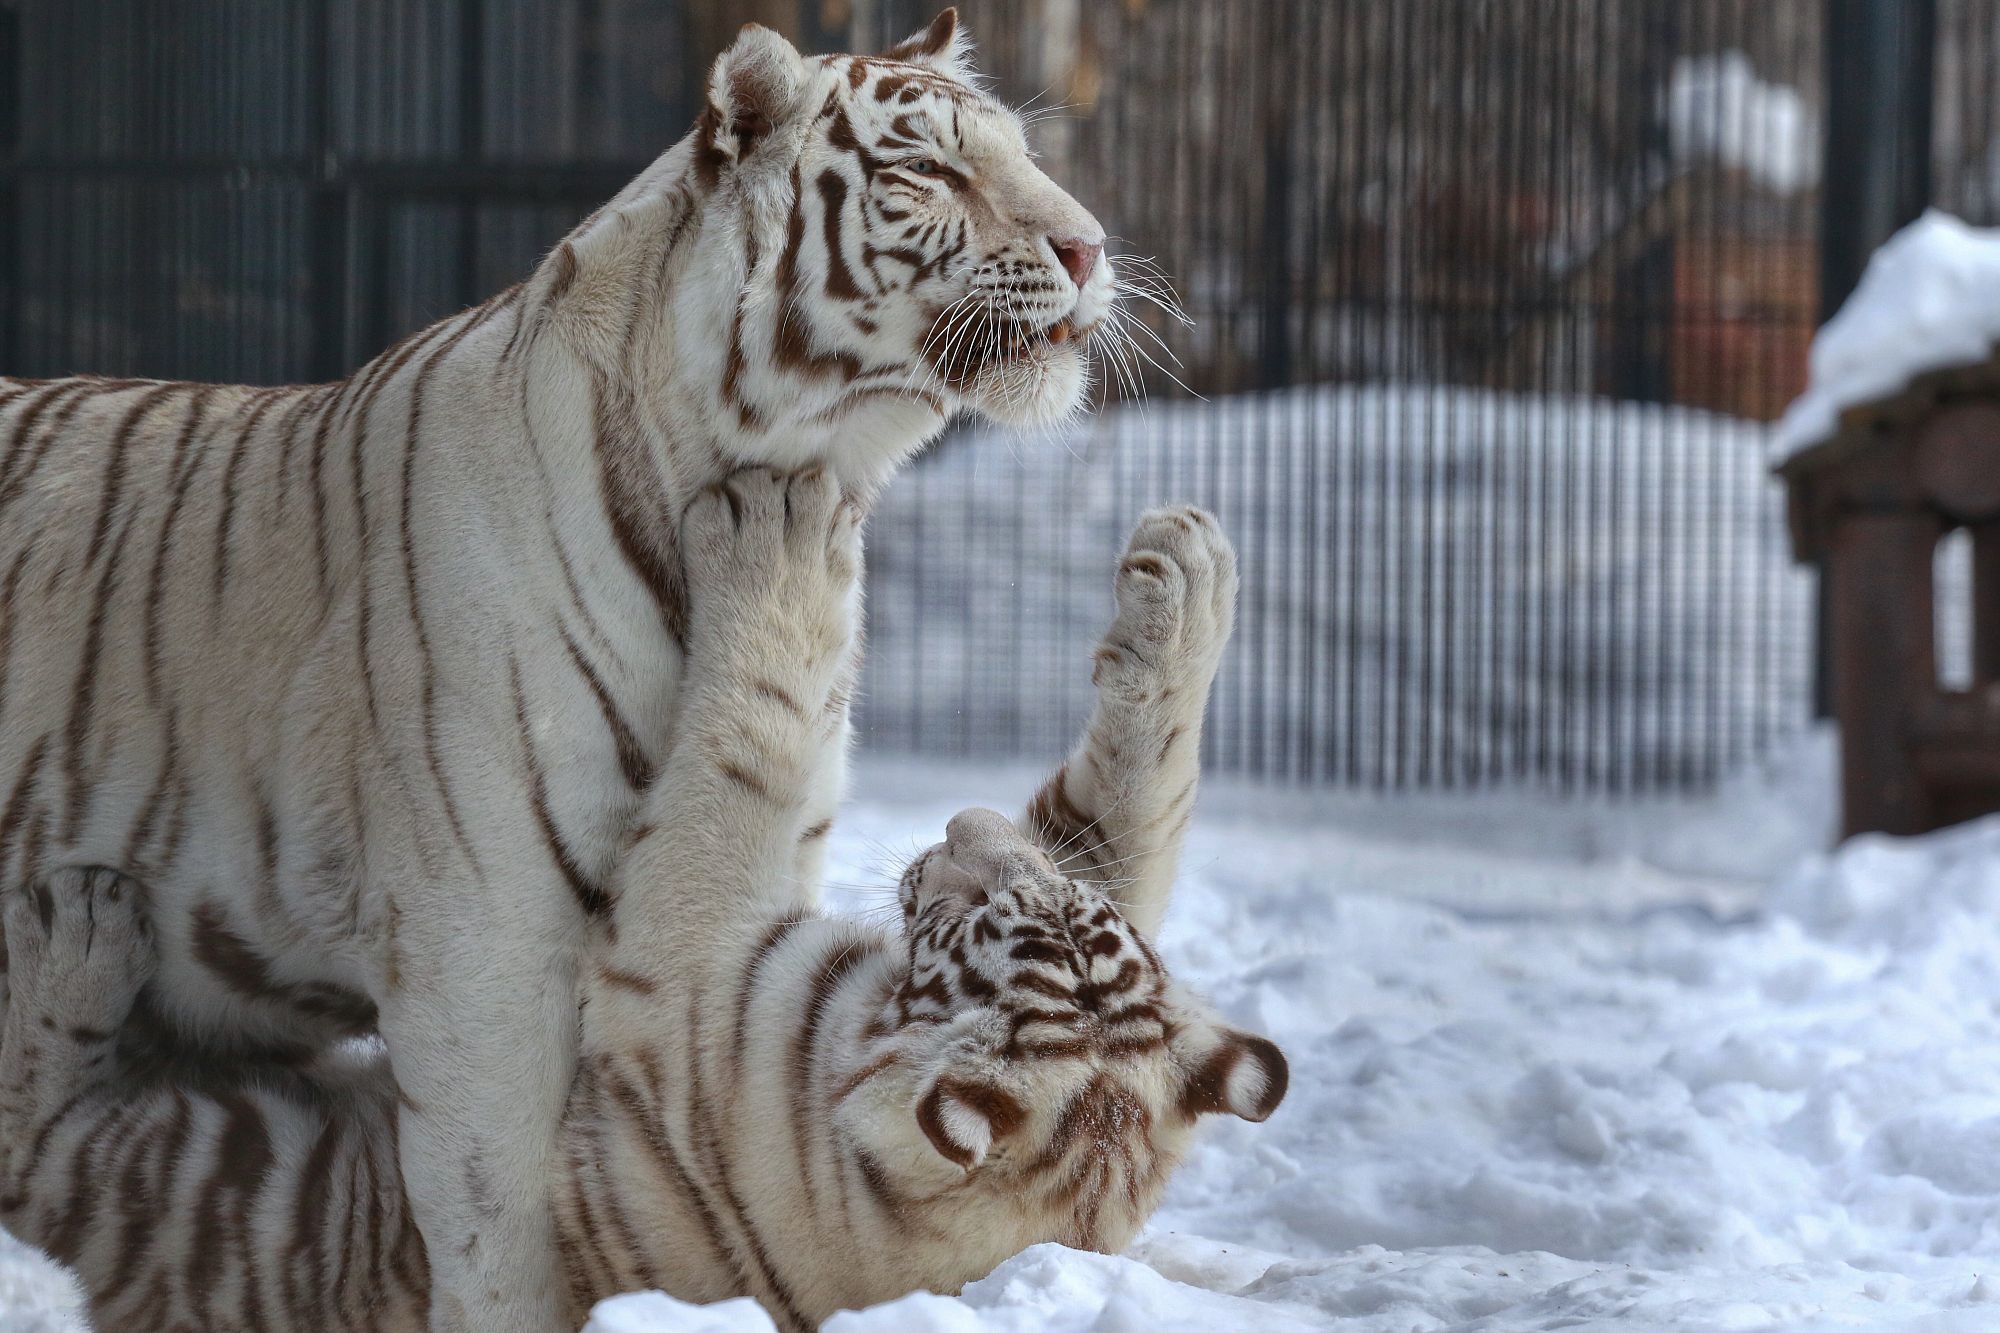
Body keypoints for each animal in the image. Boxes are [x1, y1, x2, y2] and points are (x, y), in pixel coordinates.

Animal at [0, 474, 1280, 1328]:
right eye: (1029, 907)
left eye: (960, 927)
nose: (961, 828)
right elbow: (1132, 806)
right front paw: (1191, 566)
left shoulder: (686, 957)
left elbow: (747, 741)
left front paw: (779, 530)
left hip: (186, 1171)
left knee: (44, 1122)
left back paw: (79, 935)